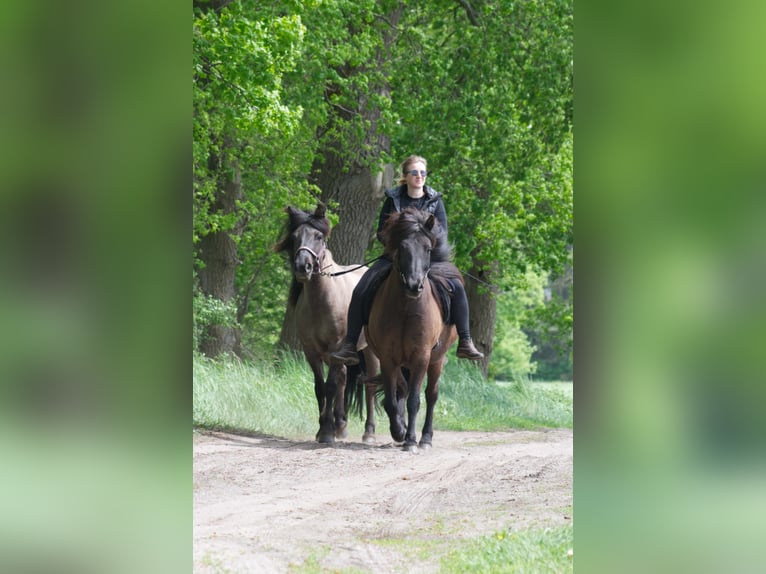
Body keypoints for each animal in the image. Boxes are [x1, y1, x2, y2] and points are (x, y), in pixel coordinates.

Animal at [278, 206, 382, 446]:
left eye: (318, 237)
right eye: (294, 237)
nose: (302, 267)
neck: (322, 301)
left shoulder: (335, 347)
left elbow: (331, 385)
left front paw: (326, 432)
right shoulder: (311, 351)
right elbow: (320, 387)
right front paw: (323, 429)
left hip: (370, 352)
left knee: (370, 385)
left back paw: (368, 432)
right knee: (343, 379)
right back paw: (340, 425)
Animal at [364, 209, 460, 452]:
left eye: (428, 248)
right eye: (402, 248)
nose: (414, 285)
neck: (406, 308)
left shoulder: (421, 357)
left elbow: (415, 400)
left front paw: (410, 440)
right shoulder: (388, 358)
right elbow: (392, 398)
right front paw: (399, 430)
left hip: (437, 360)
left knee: (431, 395)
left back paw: (425, 438)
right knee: (401, 390)